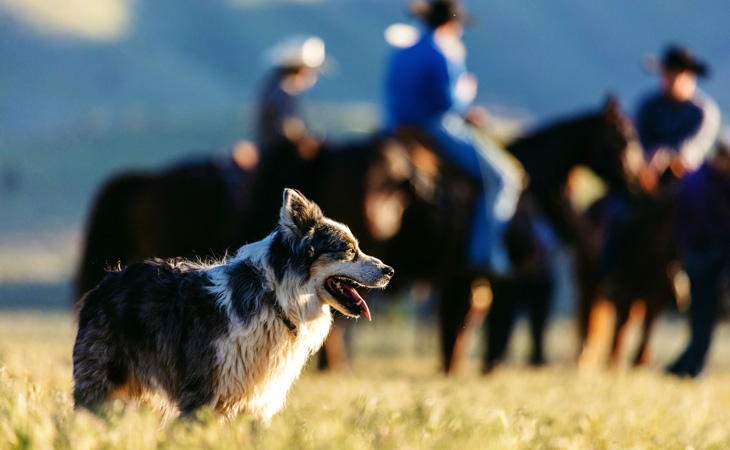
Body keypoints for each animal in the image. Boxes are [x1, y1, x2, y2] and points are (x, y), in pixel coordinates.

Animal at [72, 188, 392, 420]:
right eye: (349, 251)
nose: (390, 271)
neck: (274, 298)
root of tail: (105, 282)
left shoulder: (257, 403)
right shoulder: (201, 396)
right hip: (101, 384)